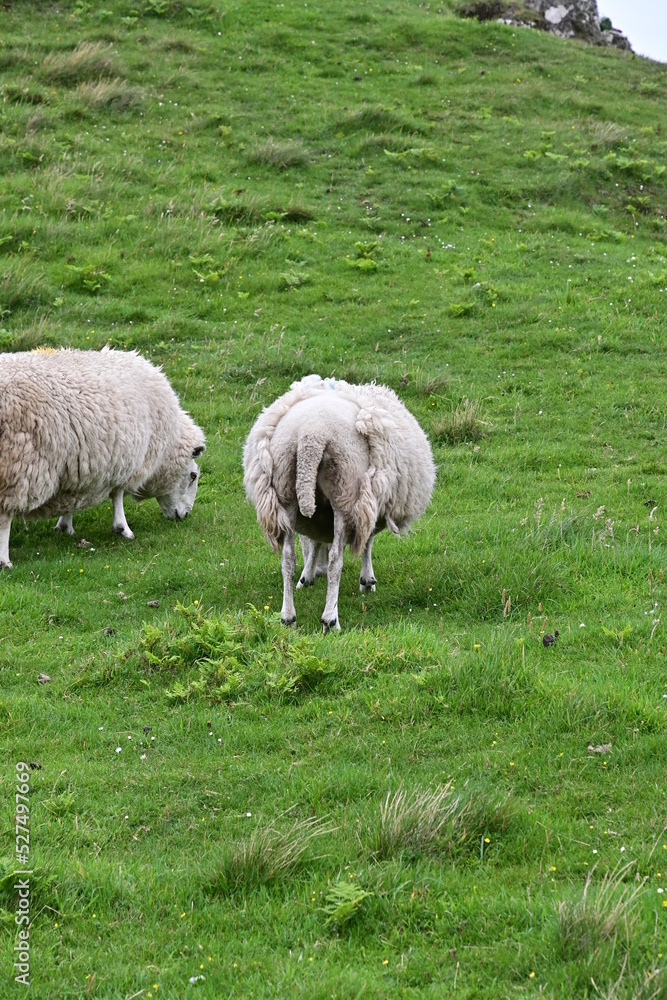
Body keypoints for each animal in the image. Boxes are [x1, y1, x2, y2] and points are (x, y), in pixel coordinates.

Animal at [0, 347, 205, 568]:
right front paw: (123, 529)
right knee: (4, 516)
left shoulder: (77, 465)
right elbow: (118, 495)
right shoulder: (127, 461)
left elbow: (71, 499)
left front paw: (65, 525)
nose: (184, 515)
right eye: (193, 476)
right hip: (16, 464)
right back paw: (5, 560)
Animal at [243, 374, 435, 631]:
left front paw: (307, 576)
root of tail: (311, 434)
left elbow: (314, 544)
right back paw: (330, 619)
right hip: (346, 490)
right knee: (336, 560)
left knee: (287, 558)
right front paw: (367, 580)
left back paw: (288, 616)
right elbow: (366, 542)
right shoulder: (368, 500)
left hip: (285, 492)